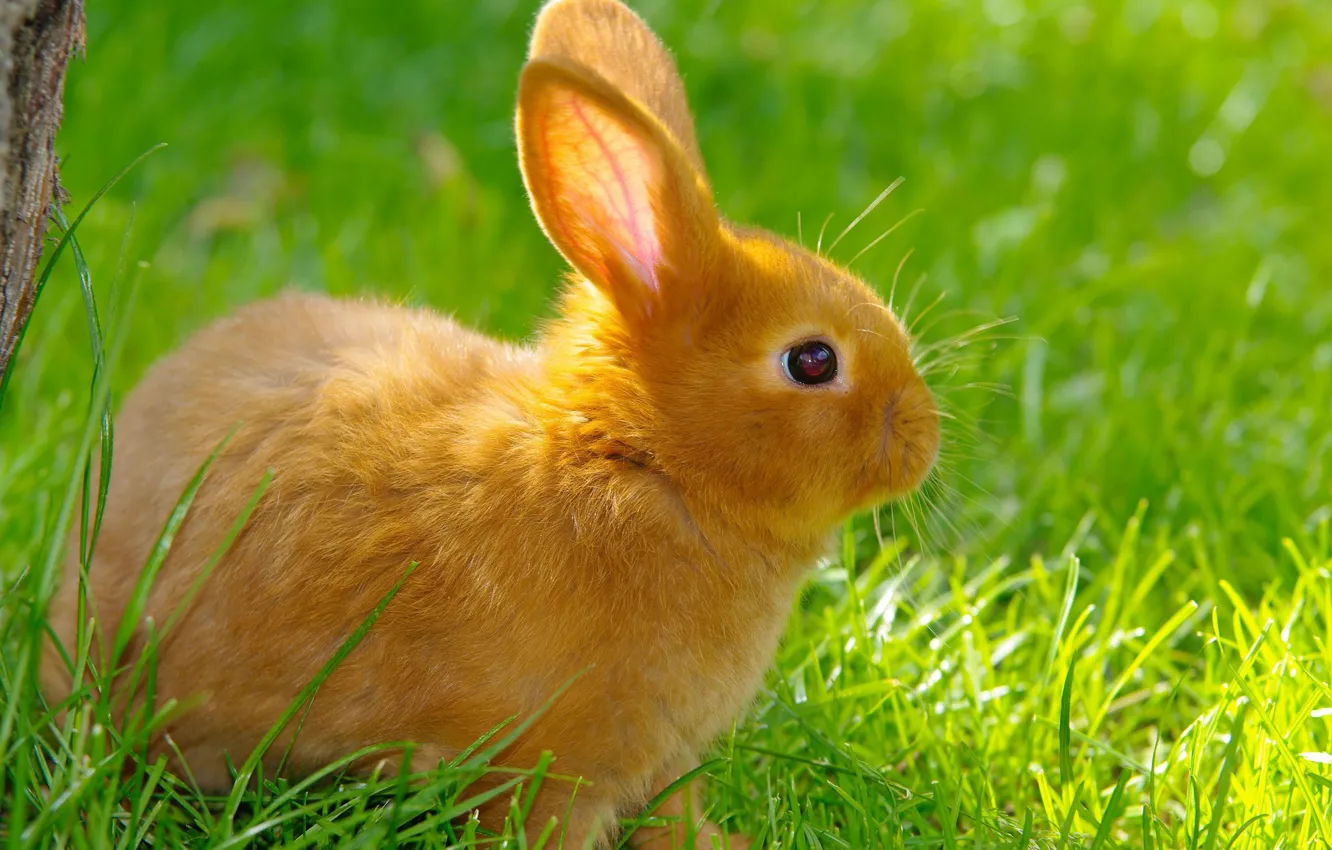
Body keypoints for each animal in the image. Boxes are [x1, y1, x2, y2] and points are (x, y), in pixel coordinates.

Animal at [41, 0, 941, 846]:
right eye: (813, 361)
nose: (924, 436)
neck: (644, 461)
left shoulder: (661, 760)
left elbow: (673, 814)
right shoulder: (549, 771)